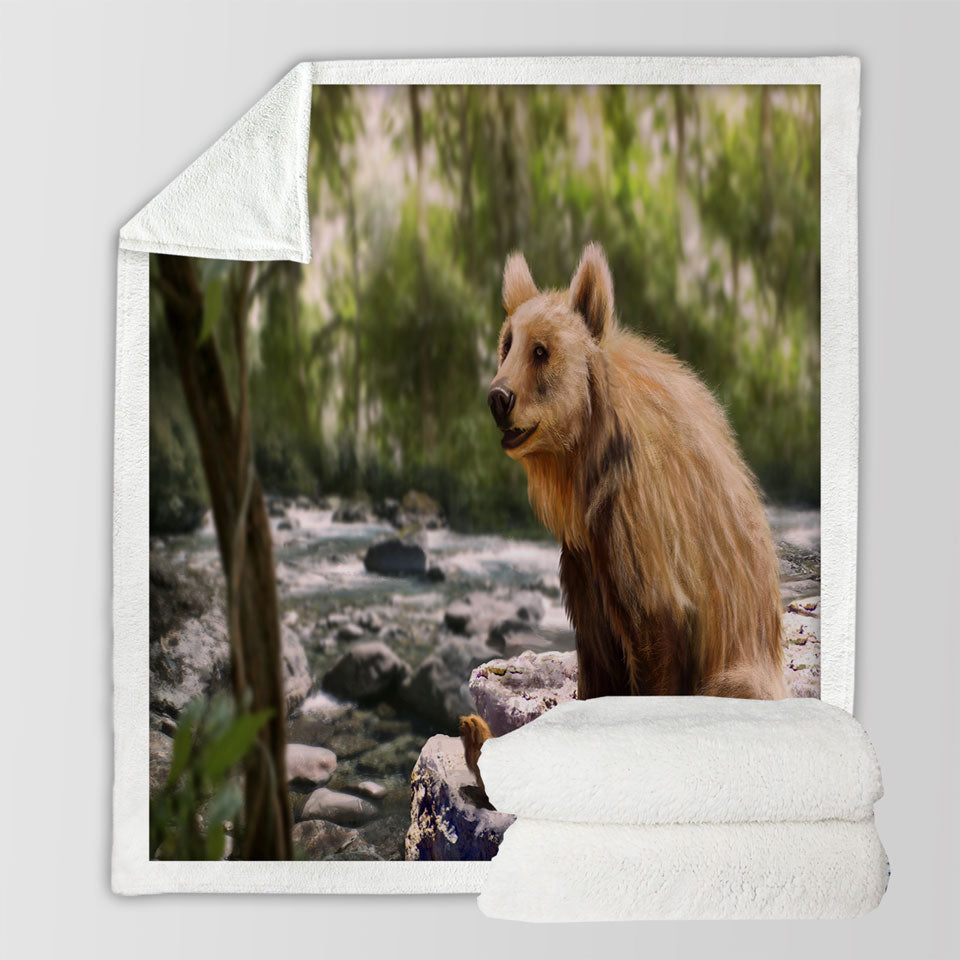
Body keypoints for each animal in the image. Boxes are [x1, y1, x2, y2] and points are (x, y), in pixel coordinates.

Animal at [461, 243, 787, 776]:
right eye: (507, 343)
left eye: (541, 350)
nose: (498, 397)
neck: (585, 462)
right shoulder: (585, 558)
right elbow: (595, 652)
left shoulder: (643, 530)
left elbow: (654, 638)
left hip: (741, 671)